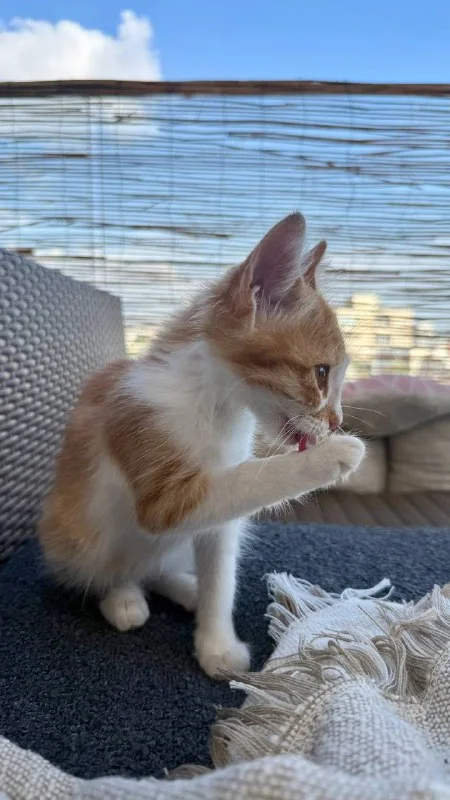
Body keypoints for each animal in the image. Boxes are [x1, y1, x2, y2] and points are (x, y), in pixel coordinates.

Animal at [38, 212, 365, 679]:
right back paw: (123, 596)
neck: (216, 408)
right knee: (106, 567)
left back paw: (183, 587)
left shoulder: (219, 523)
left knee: (157, 568)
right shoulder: (161, 484)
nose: (336, 421)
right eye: (321, 373)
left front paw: (216, 643)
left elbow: (221, 574)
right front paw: (335, 454)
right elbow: (250, 479)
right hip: (73, 536)